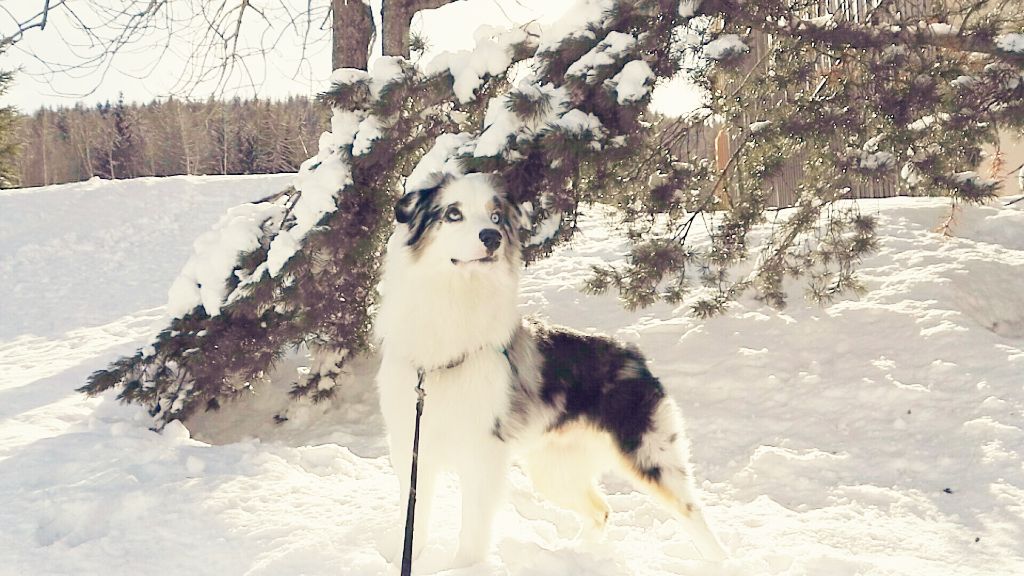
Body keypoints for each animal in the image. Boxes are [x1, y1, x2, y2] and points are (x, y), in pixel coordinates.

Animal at [372, 171, 724, 565]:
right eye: (453, 213)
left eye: (496, 217)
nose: (491, 238)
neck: (455, 301)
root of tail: (634, 356)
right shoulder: (413, 445)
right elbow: (413, 523)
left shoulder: (483, 453)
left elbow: (472, 534)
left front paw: (464, 568)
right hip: (554, 471)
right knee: (601, 510)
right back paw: (581, 555)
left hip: (650, 455)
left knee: (694, 515)